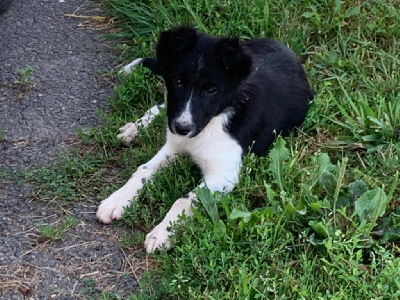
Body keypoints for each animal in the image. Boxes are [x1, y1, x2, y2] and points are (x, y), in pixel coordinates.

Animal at [96, 26, 312, 253]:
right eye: (178, 81)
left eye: (211, 90)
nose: (182, 128)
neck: (212, 122)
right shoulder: (173, 144)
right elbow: (143, 171)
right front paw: (117, 200)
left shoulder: (224, 175)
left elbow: (184, 200)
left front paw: (162, 233)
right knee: (162, 105)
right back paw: (135, 128)